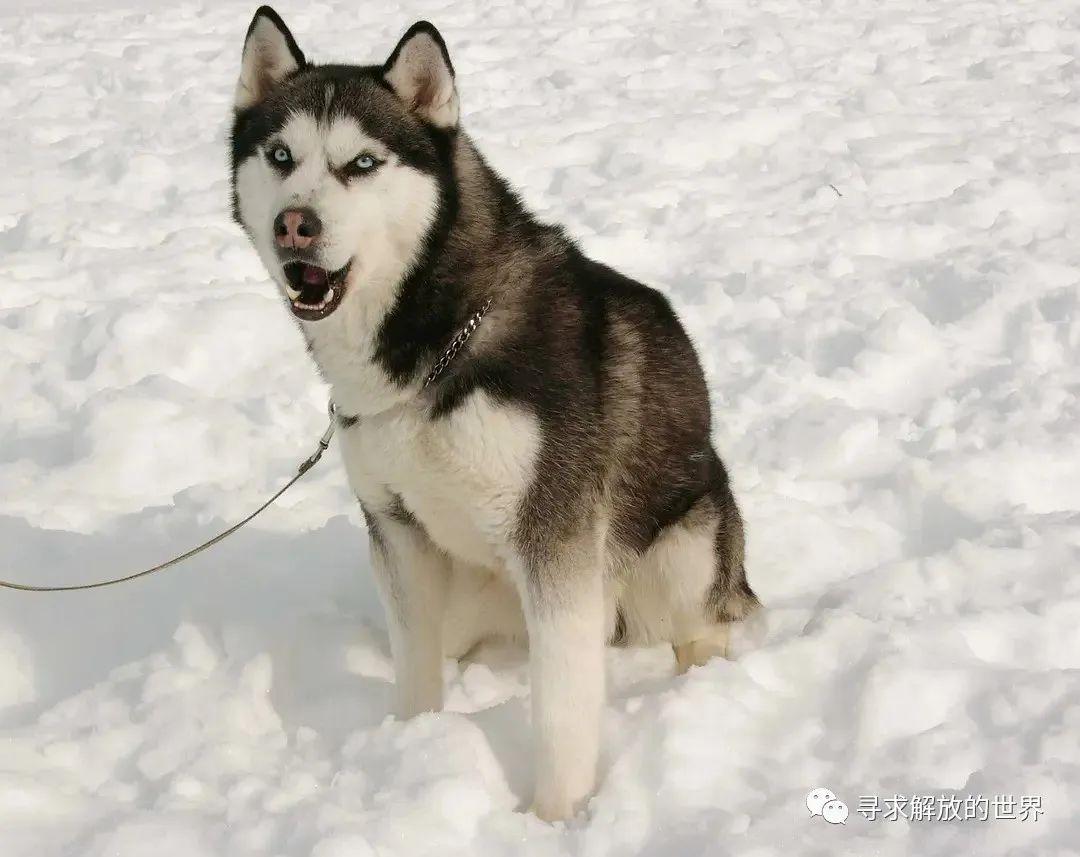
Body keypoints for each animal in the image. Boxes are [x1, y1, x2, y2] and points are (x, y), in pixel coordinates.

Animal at [233, 6, 764, 815]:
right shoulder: (398, 533)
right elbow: (416, 669)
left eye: (363, 164)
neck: (433, 346)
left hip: (685, 547)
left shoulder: (557, 540)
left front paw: (556, 817)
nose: (296, 224)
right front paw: (410, 751)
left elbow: (561, 717)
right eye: (280, 155)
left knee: (700, 627)